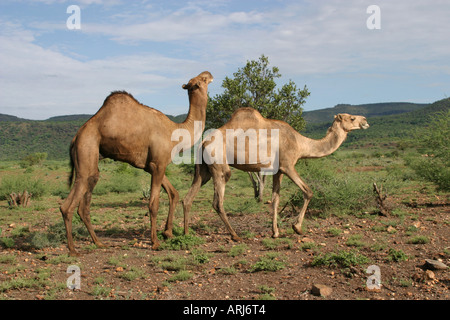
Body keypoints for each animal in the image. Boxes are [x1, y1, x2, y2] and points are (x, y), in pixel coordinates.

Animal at [59, 71, 213, 256]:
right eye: (202, 79)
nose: (209, 73)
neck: (175, 133)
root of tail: (75, 138)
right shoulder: (158, 164)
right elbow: (153, 204)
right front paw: (155, 242)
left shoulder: (152, 166)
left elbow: (173, 193)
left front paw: (167, 232)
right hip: (86, 149)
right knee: (68, 205)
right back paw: (73, 250)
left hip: (91, 159)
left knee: (84, 204)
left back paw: (99, 243)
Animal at [183, 107, 370, 240]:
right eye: (352, 118)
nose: (366, 121)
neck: (300, 143)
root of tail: (203, 142)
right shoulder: (288, 165)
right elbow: (308, 191)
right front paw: (297, 228)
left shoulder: (277, 171)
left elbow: (275, 200)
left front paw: (275, 232)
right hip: (219, 165)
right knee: (218, 201)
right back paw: (235, 235)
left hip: (204, 169)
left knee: (188, 197)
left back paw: (185, 233)